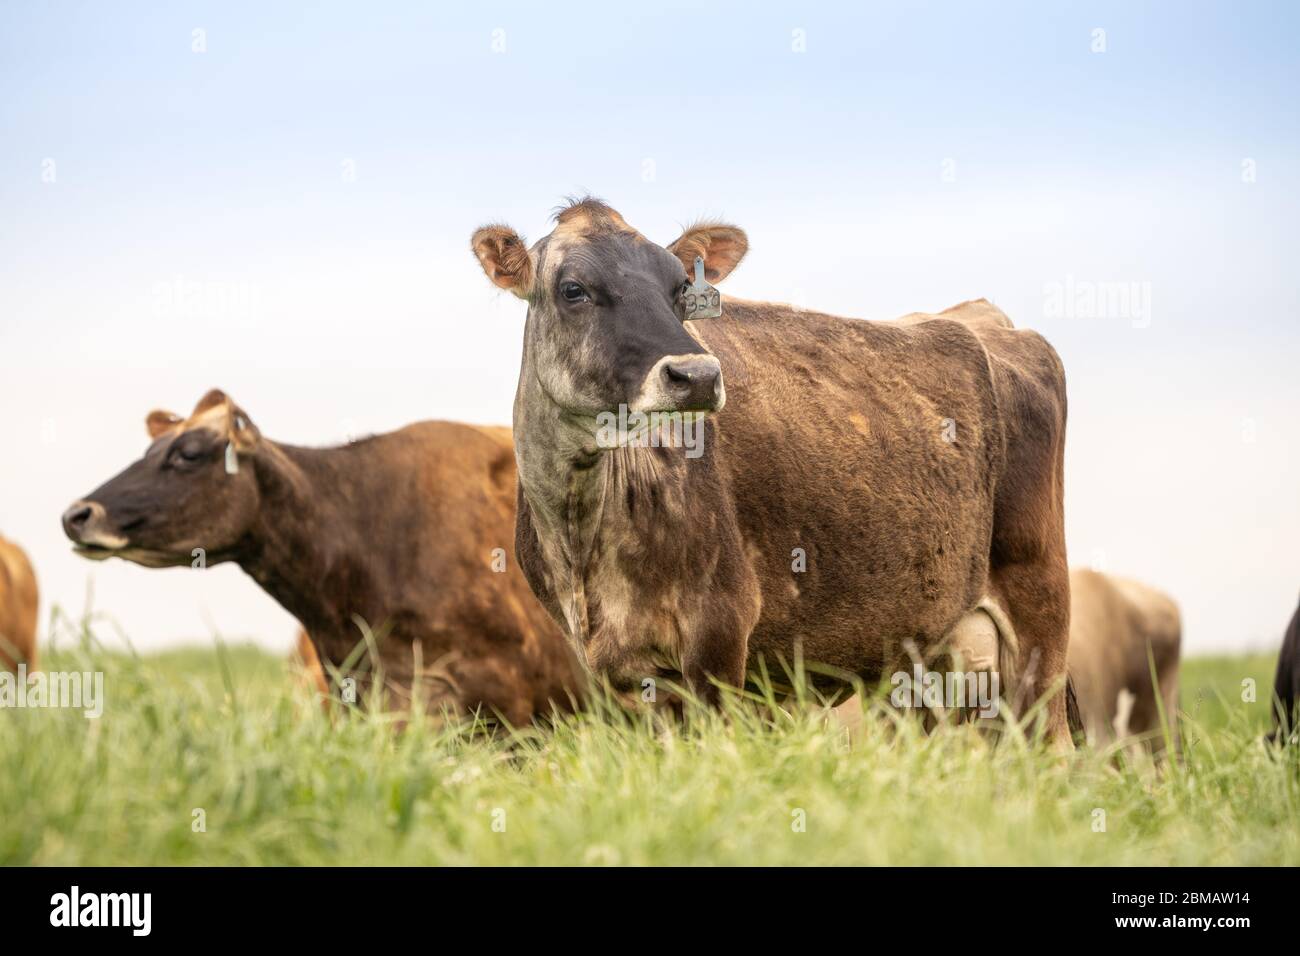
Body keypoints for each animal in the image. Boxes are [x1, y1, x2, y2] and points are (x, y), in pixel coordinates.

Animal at [470, 198, 1074, 747]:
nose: (697, 374)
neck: (583, 540)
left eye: (681, 290)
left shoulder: (719, 632)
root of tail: (984, 319)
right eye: (573, 289)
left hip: (1040, 613)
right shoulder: (629, 674)